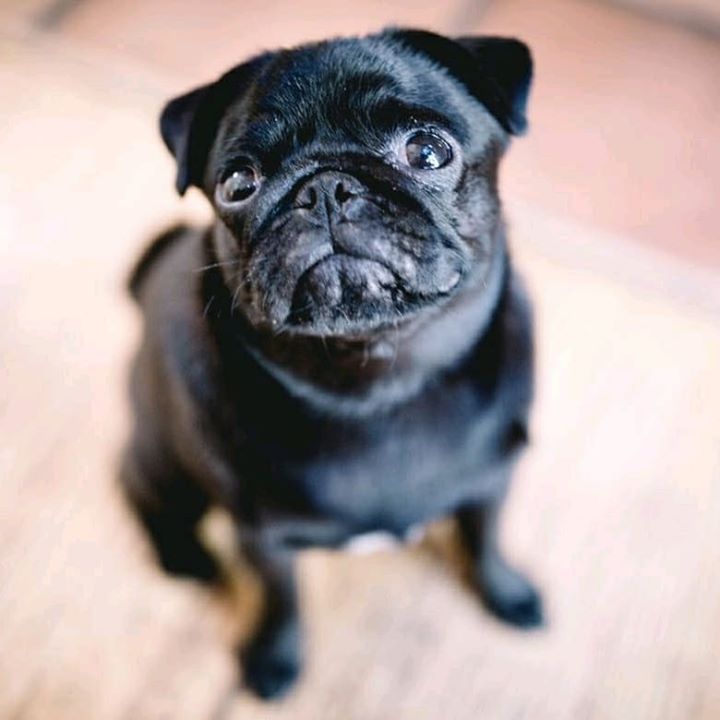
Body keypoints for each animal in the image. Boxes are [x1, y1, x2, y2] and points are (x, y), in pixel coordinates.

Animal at [122, 28, 540, 696]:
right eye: (237, 184)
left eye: (428, 152)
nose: (323, 189)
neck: (378, 380)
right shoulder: (262, 535)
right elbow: (281, 600)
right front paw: (275, 659)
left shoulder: (493, 482)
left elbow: (485, 540)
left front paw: (506, 592)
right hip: (164, 458)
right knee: (139, 489)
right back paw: (184, 557)